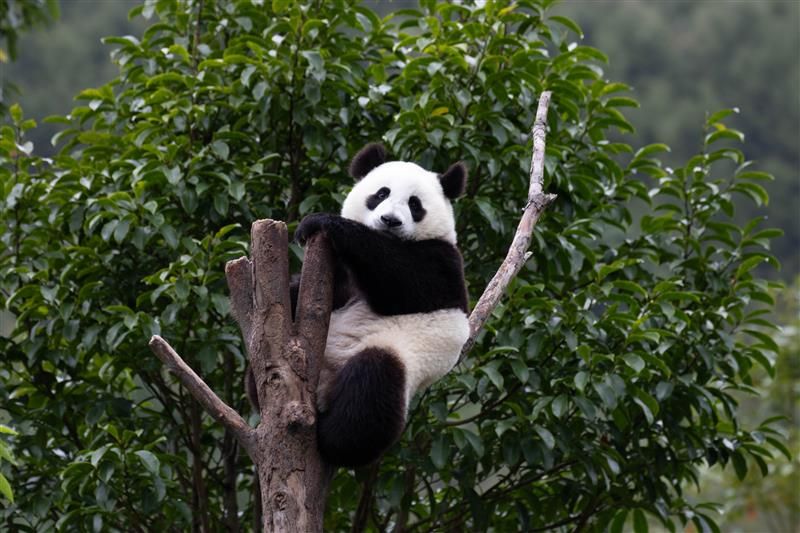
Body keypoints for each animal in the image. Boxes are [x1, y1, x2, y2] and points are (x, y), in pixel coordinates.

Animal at [250, 141, 468, 466]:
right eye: (381, 194)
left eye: (415, 205)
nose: (390, 221)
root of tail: (323, 394)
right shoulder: (338, 273)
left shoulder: (444, 264)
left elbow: (405, 281)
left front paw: (321, 222)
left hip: (398, 359)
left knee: (371, 388)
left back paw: (333, 439)